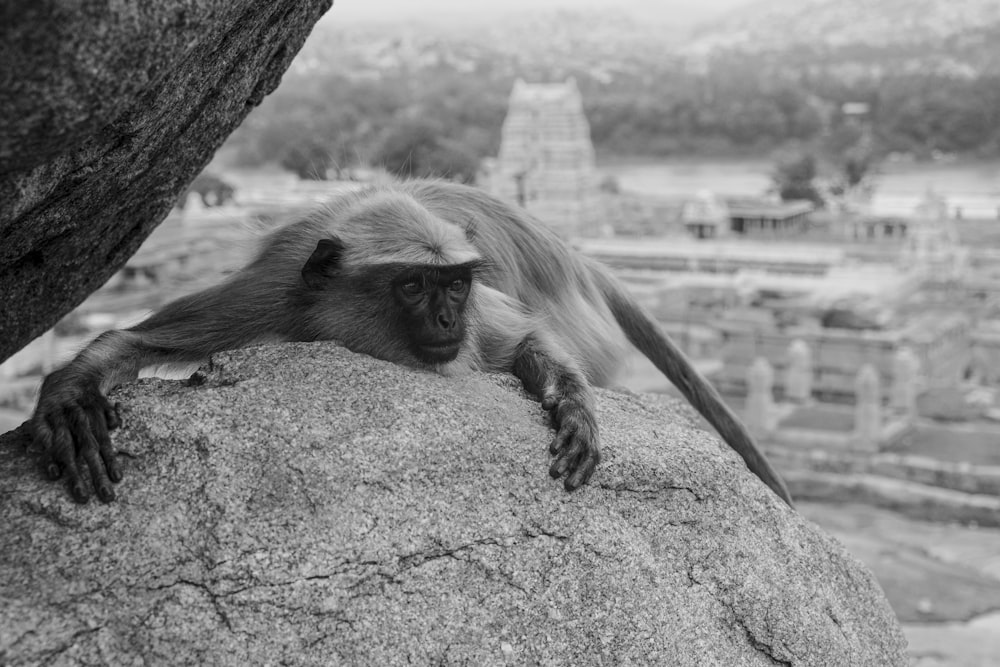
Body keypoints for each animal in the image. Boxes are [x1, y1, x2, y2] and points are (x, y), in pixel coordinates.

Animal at [23, 177, 792, 506]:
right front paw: (72, 395)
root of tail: (573, 257)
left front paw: (573, 411)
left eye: (455, 285)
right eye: (417, 287)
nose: (449, 321)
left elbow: (525, 341)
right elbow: (140, 339)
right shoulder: (274, 292)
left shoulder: (481, 316)